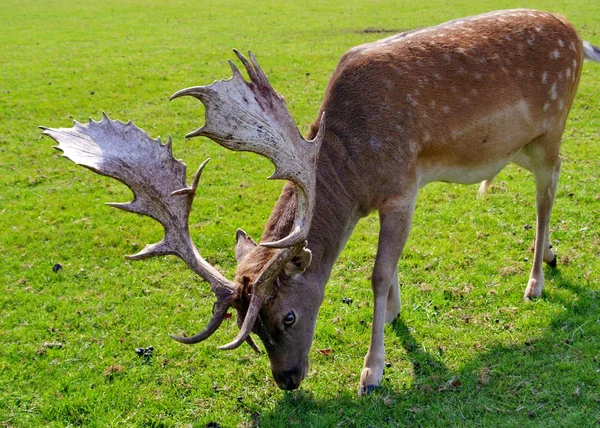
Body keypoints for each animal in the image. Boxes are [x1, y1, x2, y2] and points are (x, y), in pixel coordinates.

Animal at [43, 9, 600, 394]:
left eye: (288, 317)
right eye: (248, 329)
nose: (287, 380)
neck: (353, 170)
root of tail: (579, 36)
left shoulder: (402, 187)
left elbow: (377, 273)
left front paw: (372, 371)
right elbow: (391, 268)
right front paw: (395, 314)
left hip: (553, 127)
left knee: (548, 194)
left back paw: (535, 282)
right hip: (519, 146)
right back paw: (552, 257)